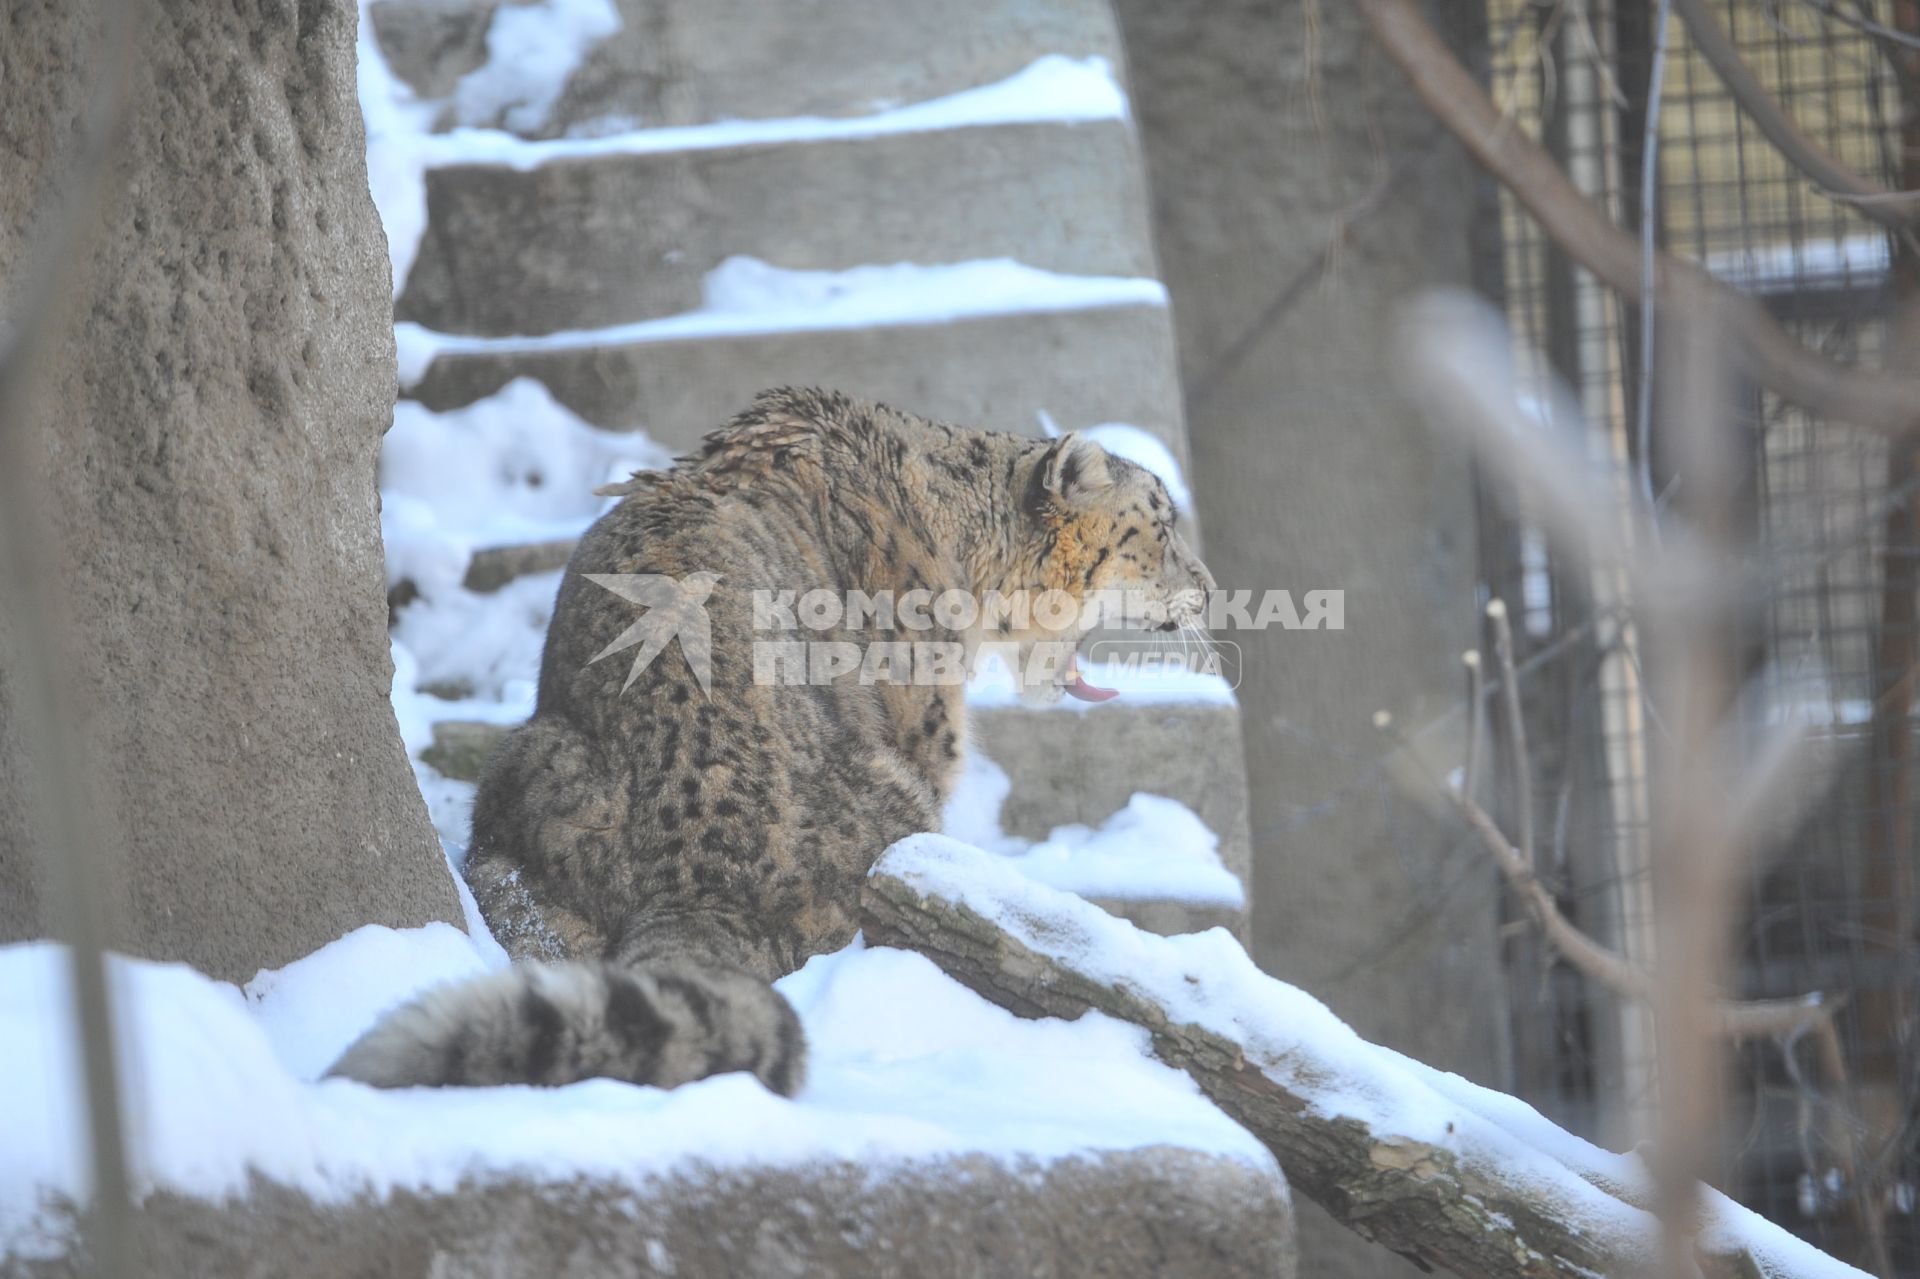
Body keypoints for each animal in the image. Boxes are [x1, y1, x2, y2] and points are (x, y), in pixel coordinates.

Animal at [322, 391, 1205, 1098]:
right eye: (1161, 529)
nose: (1206, 589)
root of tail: (701, 874)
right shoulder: (928, 731)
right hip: (895, 802)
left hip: (532, 762)